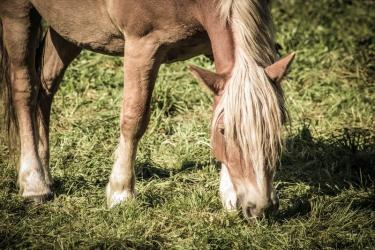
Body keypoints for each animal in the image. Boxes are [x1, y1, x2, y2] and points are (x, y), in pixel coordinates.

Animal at [0, 0, 296, 219]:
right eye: (224, 131)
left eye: (278, 125)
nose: (260, 206)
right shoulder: (142, 46)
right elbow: (134, 118)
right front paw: (121, 193)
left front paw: (230, 194)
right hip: (19, 14)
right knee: (25, 89)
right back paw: (34, 183)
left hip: (68, 28)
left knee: (46, 88)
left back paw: (46, 172)